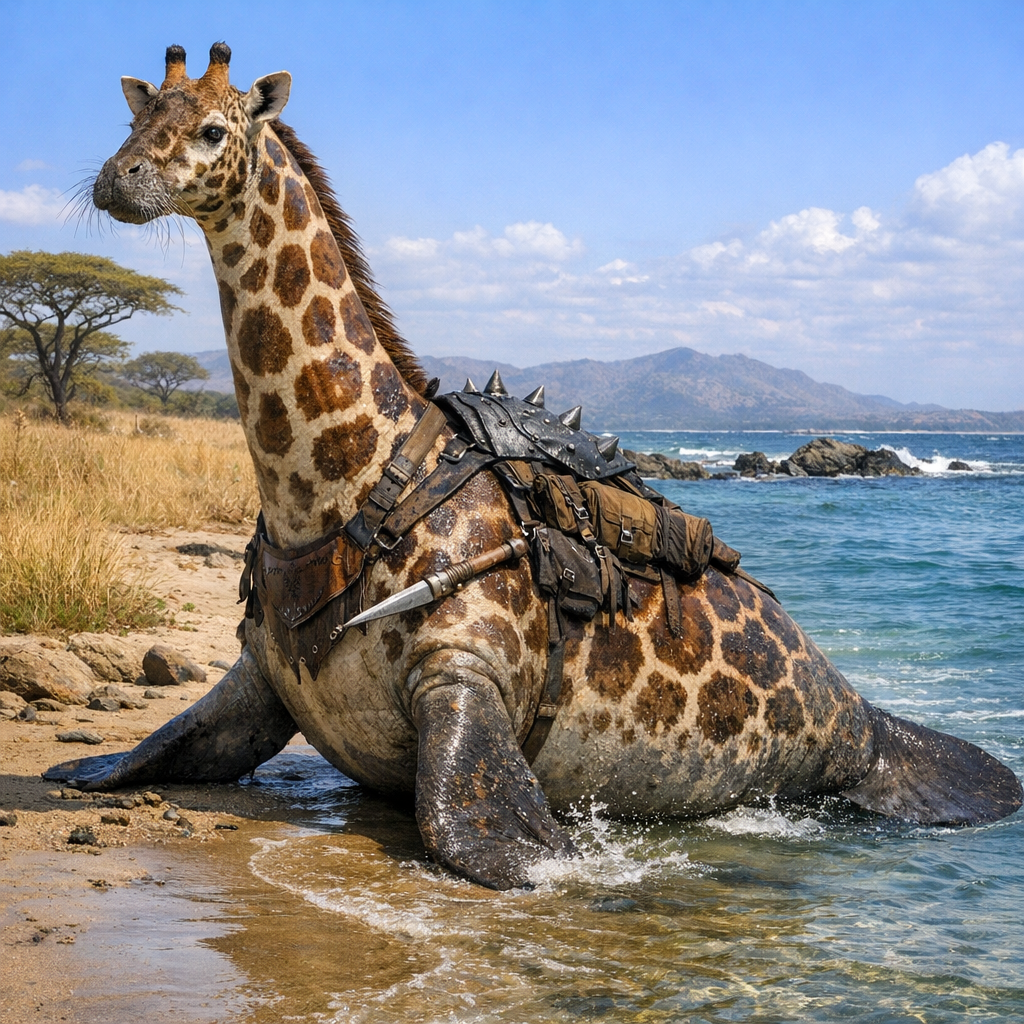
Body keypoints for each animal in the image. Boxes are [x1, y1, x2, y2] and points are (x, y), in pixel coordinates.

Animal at [49, 44, 1021, 890]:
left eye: (215, 129)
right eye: (136, 117)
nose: (116, 180)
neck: (344, 489)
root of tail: (876, 724)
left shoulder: (463, 673)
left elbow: (479, 832)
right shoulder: (256, 680)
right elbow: (156, 749)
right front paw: (84, 768)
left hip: (848, 748)